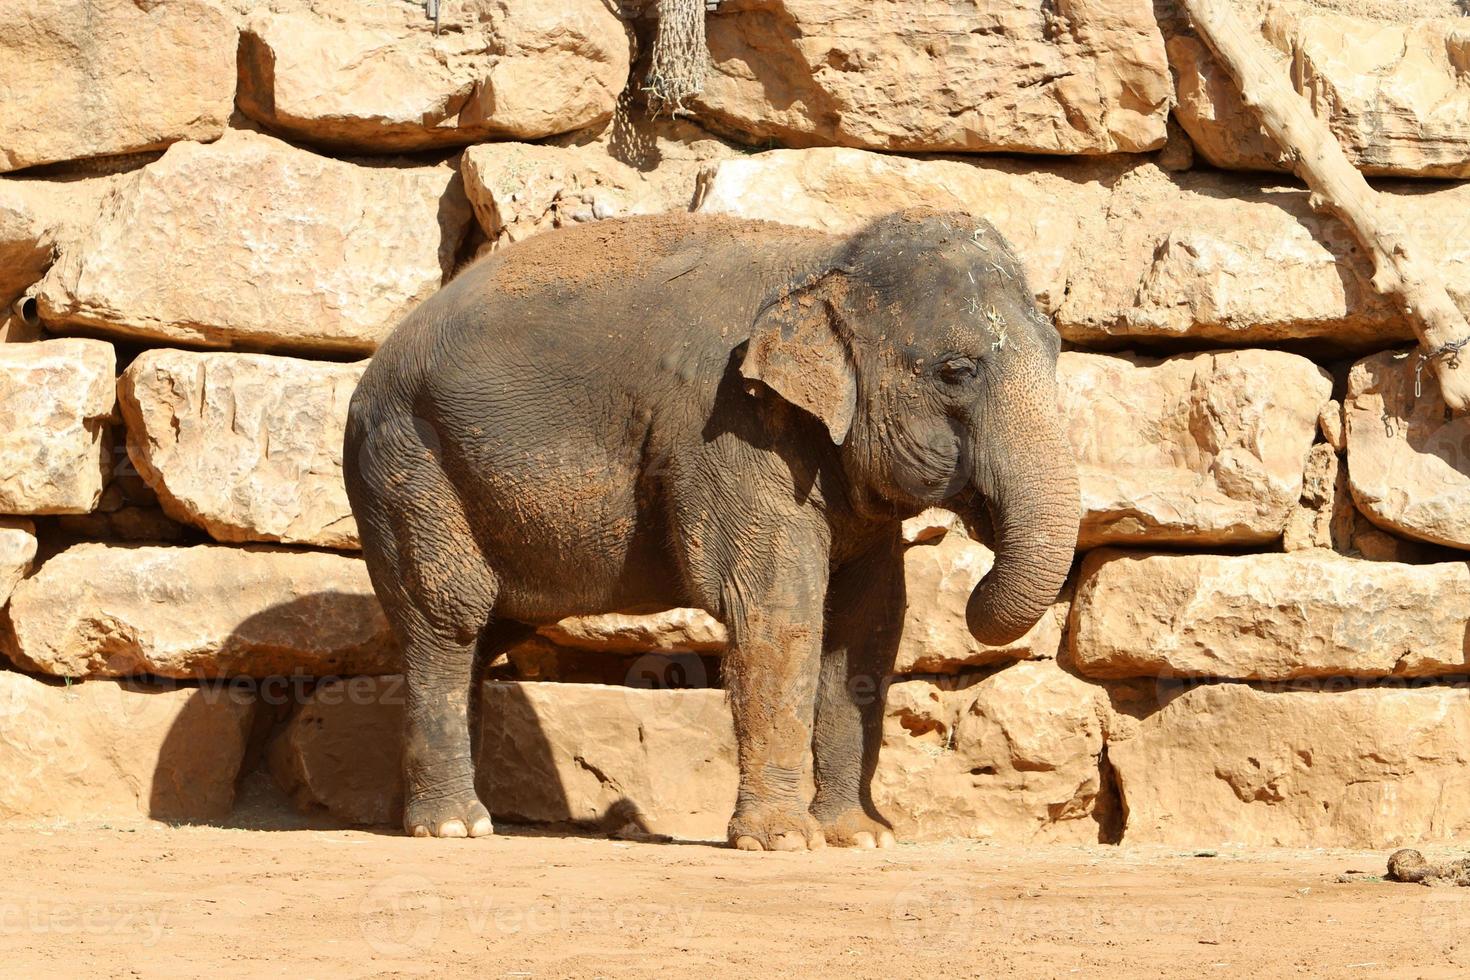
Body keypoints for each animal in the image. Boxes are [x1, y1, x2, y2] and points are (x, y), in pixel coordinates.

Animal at [343, 208, 1081, 852]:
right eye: (958, 371)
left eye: (1056, 350)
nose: (976, 578)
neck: (826, 259)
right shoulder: (731, 428)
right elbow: (776, 607)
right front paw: (783, 842)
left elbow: (868, 625)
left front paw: (860, 837)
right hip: (407, 470)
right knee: (450, 617)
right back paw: (454, 827)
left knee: (483, 631)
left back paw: (444, 815)